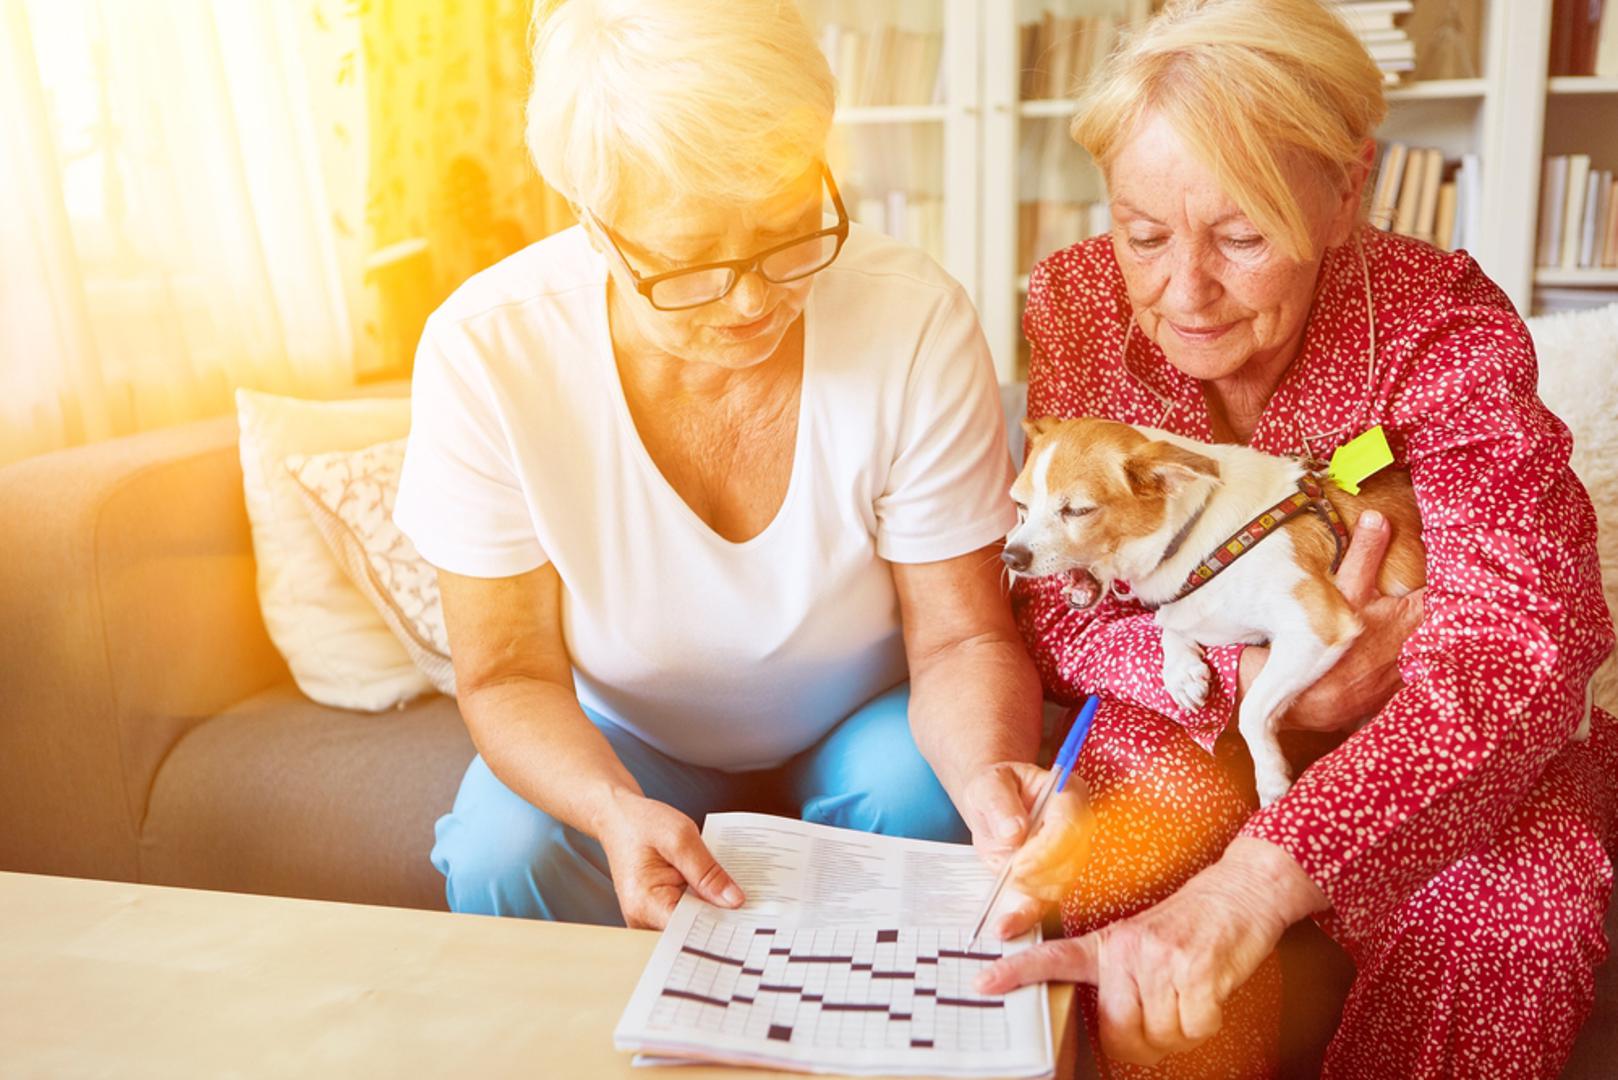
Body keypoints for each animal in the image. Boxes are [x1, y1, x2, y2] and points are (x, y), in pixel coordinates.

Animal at [1003, 417, 1423, 806]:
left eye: (1078, 511)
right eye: (1020, 506)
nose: (1011, 556)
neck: (1200, 535)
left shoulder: (1317, 627)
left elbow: (1252, 708)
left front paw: (1271, 778)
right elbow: (1172, 625)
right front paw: (1181, 670)